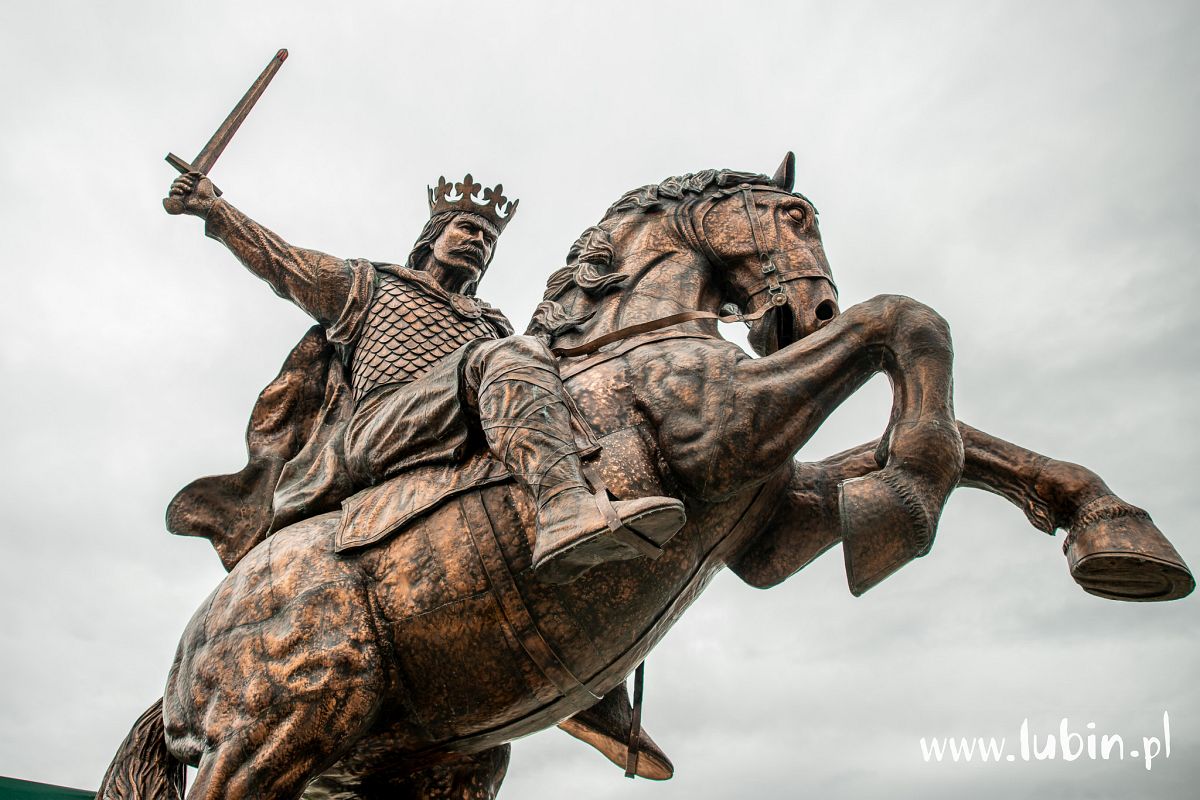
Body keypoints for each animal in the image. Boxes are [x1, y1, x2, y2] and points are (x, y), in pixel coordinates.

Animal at [100, 155, 1190, 800]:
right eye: (793, 212)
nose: (805, 312)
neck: (632, 333)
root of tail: (185, 661)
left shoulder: (775, 525)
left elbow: (958, 433)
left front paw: (1115, 529)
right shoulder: (721, 435)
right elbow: (906, 321)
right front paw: (910, 498)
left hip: (420, 763)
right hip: (275, 731)